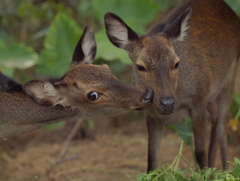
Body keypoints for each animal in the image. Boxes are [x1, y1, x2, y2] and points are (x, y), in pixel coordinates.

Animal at [104, 0, 240, 171]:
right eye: (140, 66)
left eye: (176, 63)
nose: (167, 103)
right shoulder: (151, 115)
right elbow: (152, 158)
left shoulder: (198, 100)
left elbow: (200, 152)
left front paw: (205, 171)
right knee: (216, 118)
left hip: (229, 78)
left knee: (223, 125)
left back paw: (225, 169)